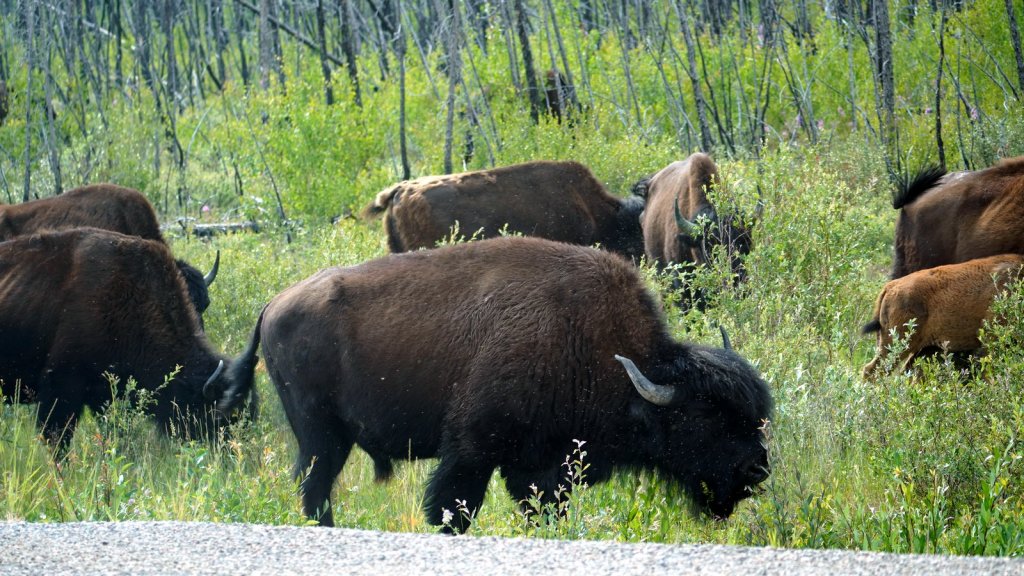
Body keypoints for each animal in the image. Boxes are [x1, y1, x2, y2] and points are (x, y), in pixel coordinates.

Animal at [257, 236, 773, 531]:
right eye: (704, 417)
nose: (757, 469)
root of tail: (275, 304)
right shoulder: (473, 451)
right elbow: (453, 508)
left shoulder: (542, 464)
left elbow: (541, 510)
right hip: (321, 436)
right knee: (314, 489)